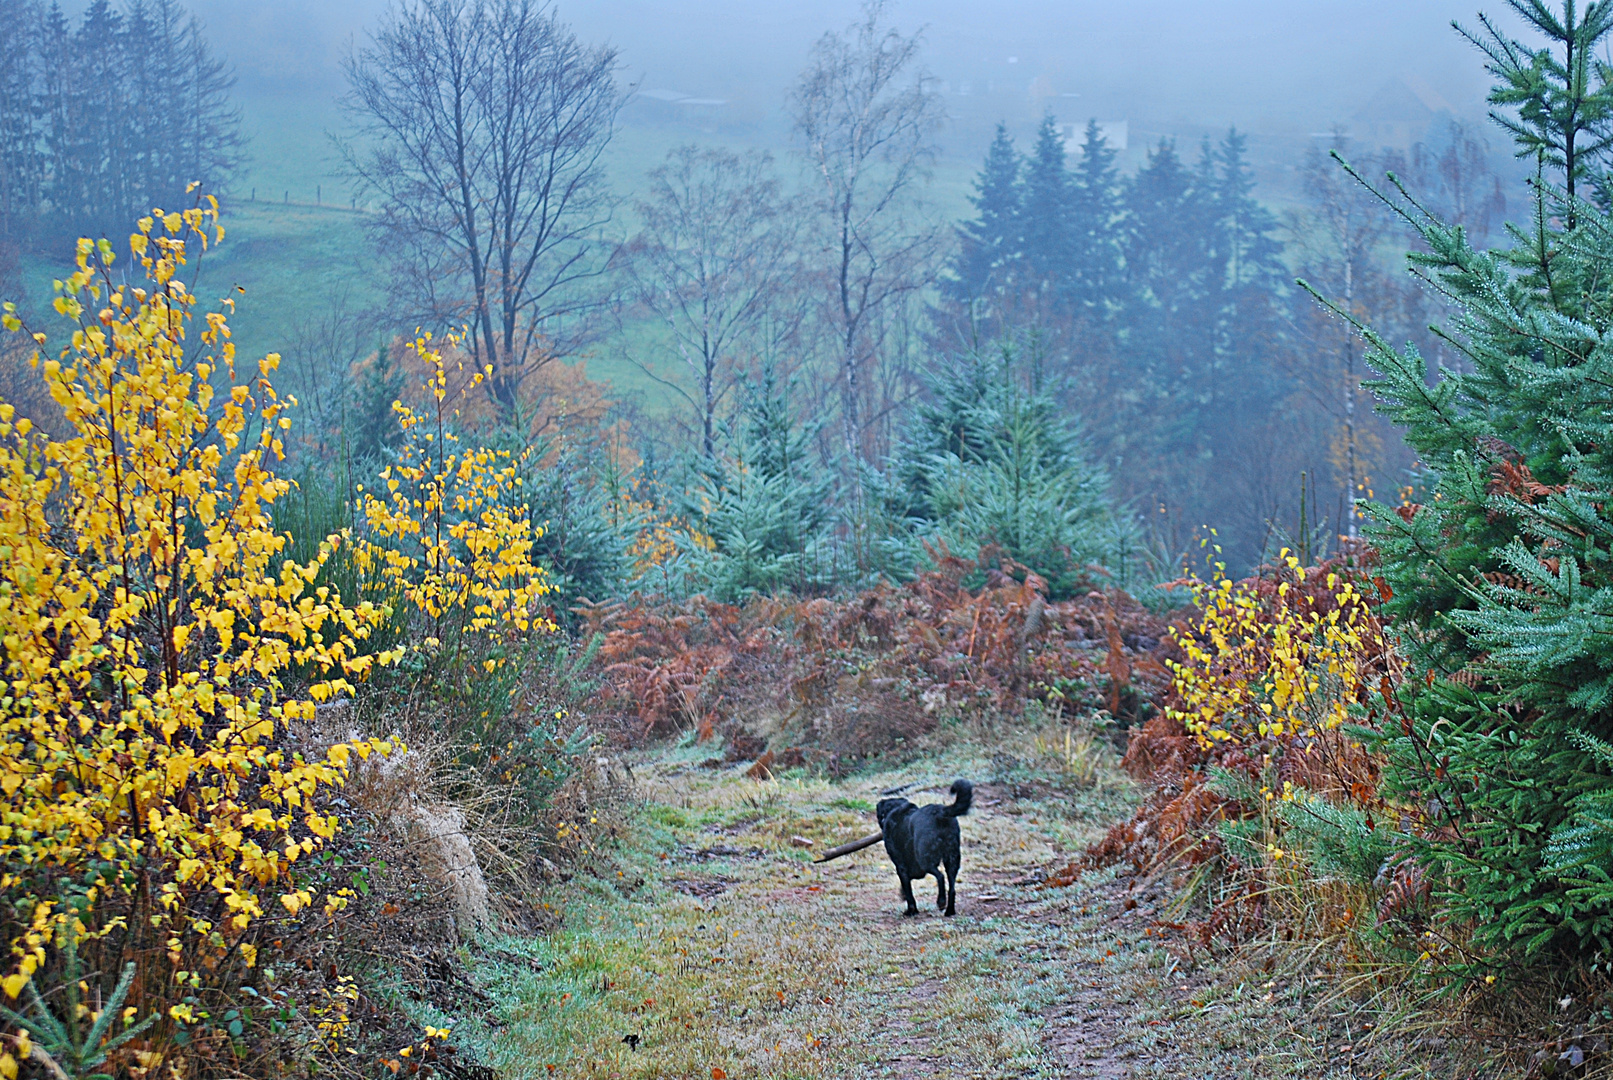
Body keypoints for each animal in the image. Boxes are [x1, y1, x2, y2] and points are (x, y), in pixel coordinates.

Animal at [883, 783, 967, 915]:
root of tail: (940, 813)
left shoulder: (901, 866)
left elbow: (908, 890)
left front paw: (911, 911)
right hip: (952, 857)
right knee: (952, 887)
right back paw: (949, 910)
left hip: (925, 859)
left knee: (940, 876)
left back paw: (941, 901)